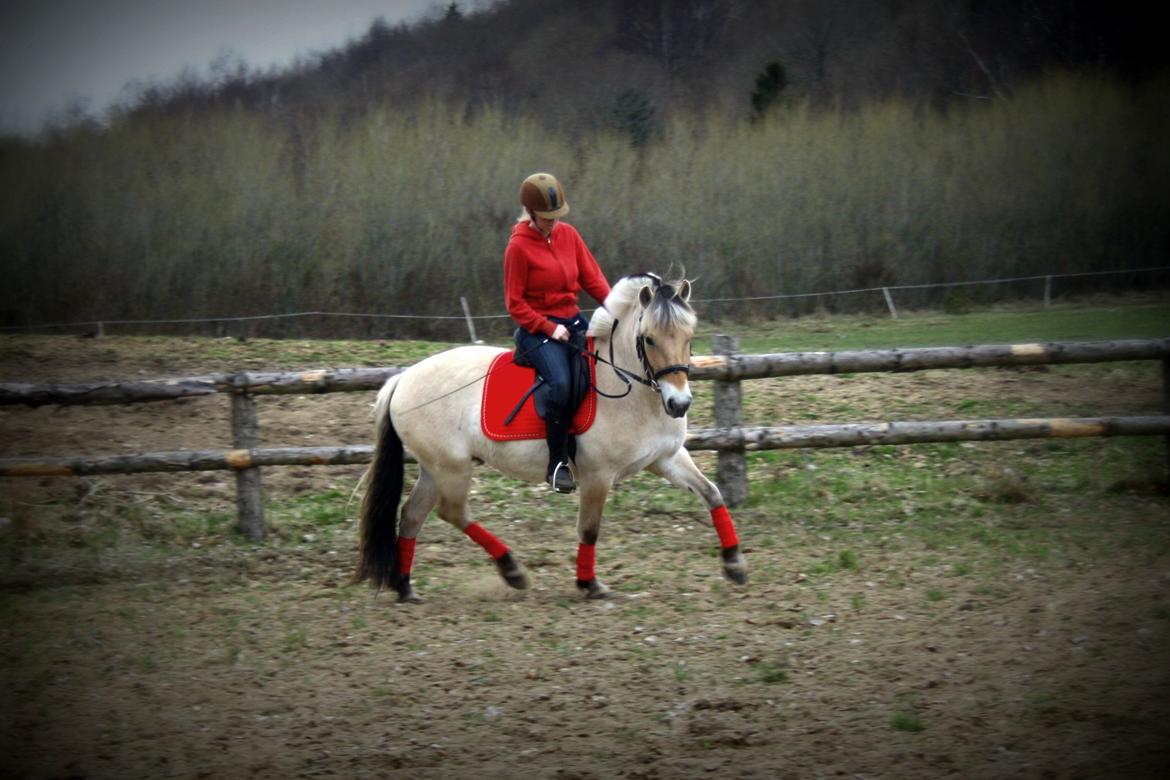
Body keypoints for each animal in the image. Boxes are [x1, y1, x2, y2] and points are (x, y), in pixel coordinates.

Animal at [351, 271, 744, 603]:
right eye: (649, 339)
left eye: (689, 338)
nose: (679, 404)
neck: (632, 391)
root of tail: (403, 378)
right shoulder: (598, 476)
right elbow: (589, 529)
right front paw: (589, 584)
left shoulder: (666, 459)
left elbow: (712, 493)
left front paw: (734, 564)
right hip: (452, 467)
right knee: (452, 511)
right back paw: (512, 570)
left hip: (435, 468)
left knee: (412, 515)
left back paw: (405, 586)